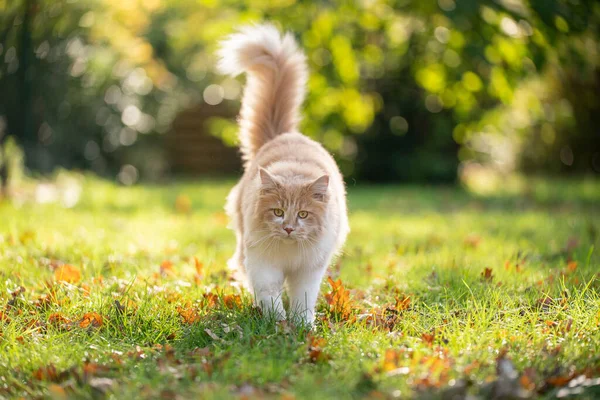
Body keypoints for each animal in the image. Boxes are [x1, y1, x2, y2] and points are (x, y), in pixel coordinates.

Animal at [218, 22, 350, 324]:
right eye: (277, 212)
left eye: (303, 214)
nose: (288, 228)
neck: (289, 250)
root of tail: (283, 135)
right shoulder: (263, 264)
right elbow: (269, 295)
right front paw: (276, 323)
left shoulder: (309, 269)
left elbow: (303, 299)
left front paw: (302, 325)